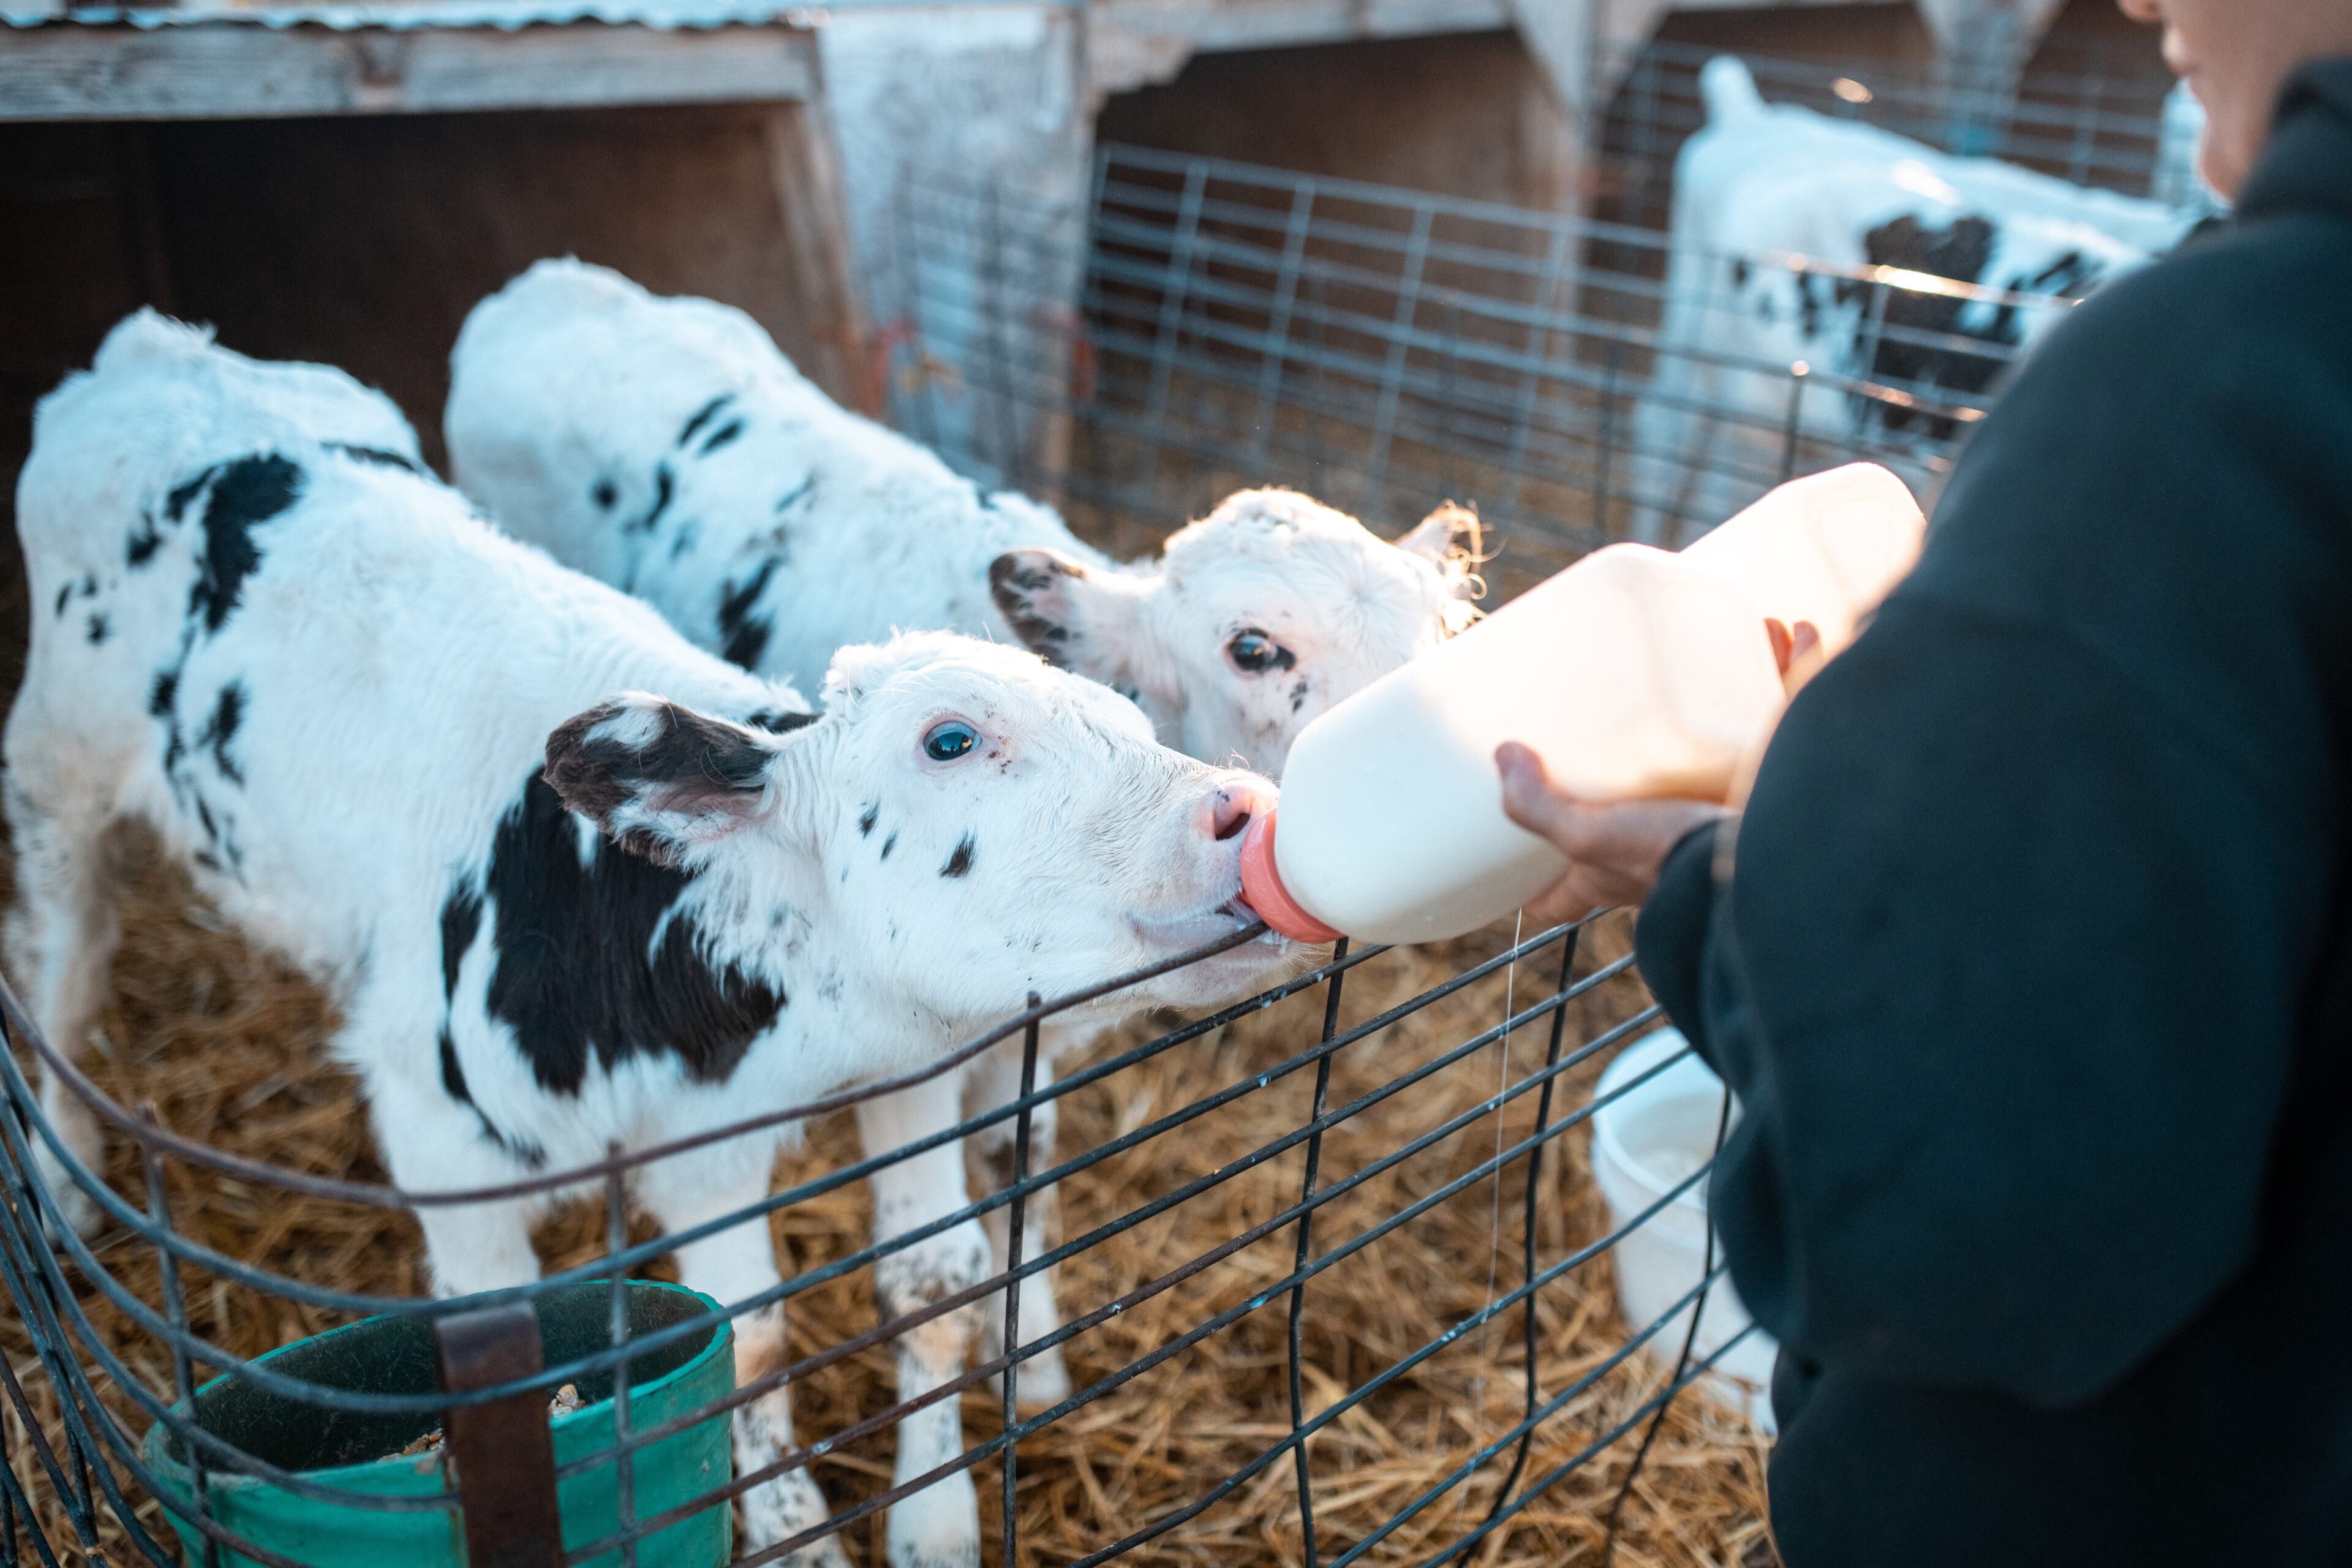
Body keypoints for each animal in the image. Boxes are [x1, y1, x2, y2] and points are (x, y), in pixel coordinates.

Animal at [9, 315, 1289, 1568]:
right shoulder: (448, 1152)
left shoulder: (830, 1103)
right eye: (951, 739)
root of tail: (158, 349)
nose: (1239, 811)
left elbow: (887, 1295)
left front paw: (924, 1529)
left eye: (1134, 718)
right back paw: (65, 1186)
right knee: (66, 981)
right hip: (54, 776)